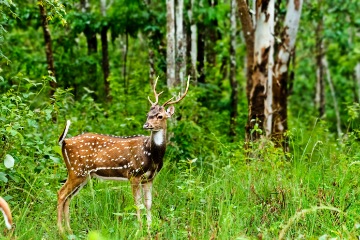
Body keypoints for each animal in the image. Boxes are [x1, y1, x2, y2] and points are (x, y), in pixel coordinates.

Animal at [56, 76, 190, 232]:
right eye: (148, 114)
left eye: (160, 116)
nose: (146, 125)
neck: (152, 155)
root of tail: (64, 142)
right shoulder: (133, 174)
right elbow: (138, 204)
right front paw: (139, 229)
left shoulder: (149, 178)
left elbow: (149, 204)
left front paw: (149, 228)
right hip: (77, 170)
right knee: (61, 194)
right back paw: (61, 231)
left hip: (83, 175)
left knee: (68, 198)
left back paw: (69, 231)